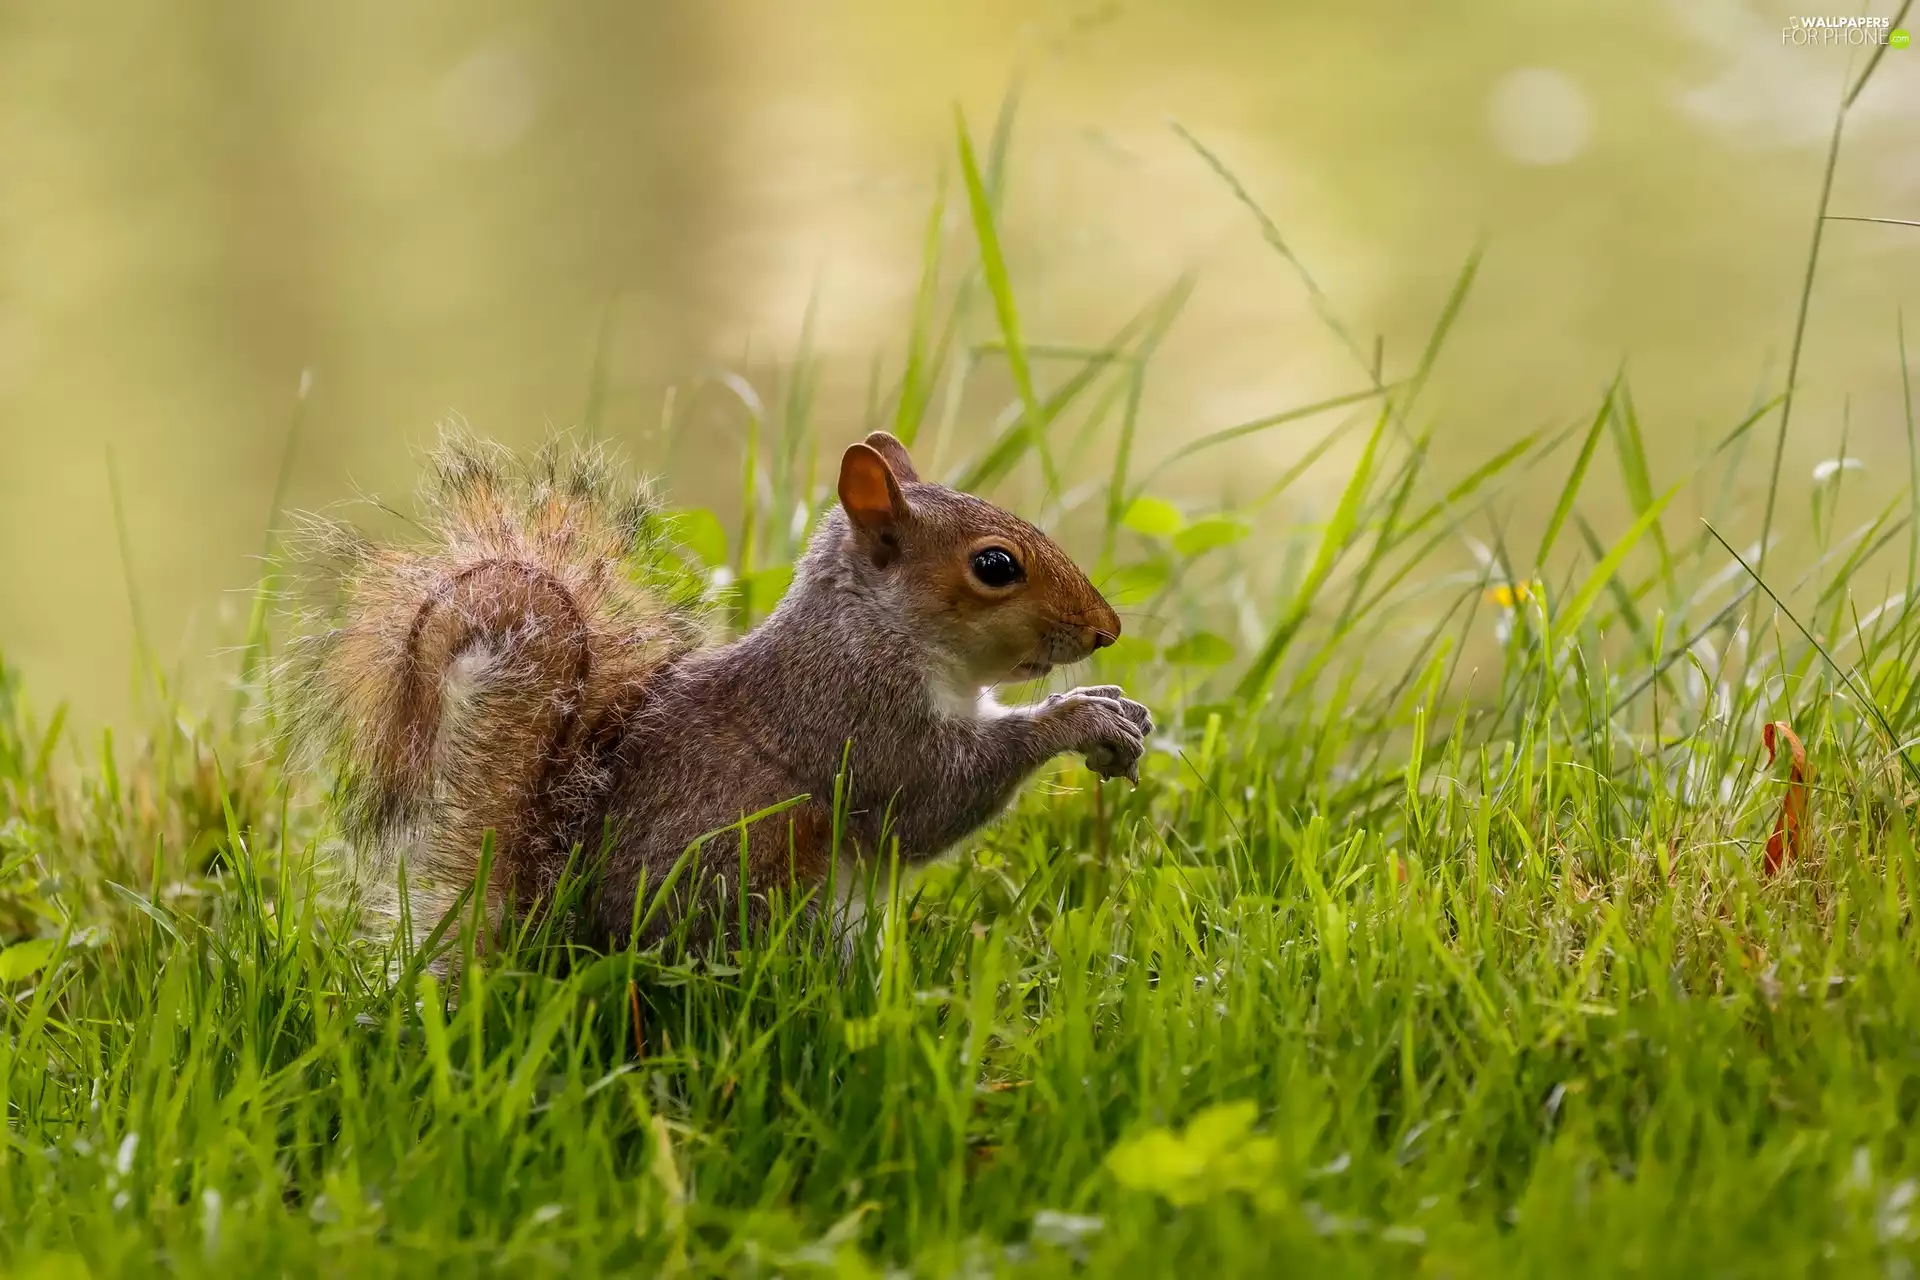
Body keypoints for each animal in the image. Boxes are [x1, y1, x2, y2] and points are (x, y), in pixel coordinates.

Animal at [287, 429, 1151, 949]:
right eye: (995, 565)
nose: (1106, 629)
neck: (878, 630)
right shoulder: (853, 720)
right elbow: (933, 799)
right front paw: (1072, 720)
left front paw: (1116, 708)